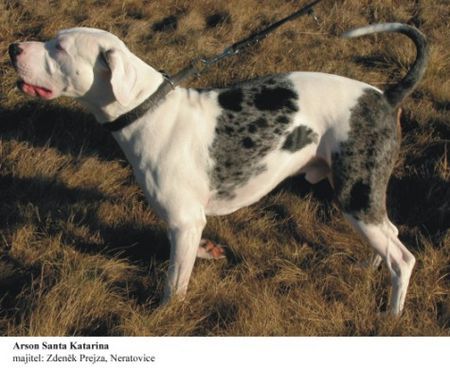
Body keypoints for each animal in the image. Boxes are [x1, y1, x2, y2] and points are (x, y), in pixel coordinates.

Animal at [8, 22, 428, 316]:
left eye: (60, 47)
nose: (13, 47)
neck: (147, 111)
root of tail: (386, 96)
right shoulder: (186, 224)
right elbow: (189, 256)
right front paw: (208, 252)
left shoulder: (184, 221)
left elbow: (174, 286)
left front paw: (164, 318)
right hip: (363, 198)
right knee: (389, 237)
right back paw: (370, 266)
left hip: (356, 196)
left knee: (403, 258)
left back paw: (390, 317)